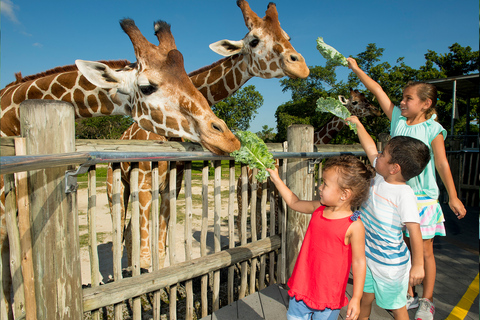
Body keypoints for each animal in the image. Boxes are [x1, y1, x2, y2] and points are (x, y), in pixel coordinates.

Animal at [106, 0, 312, 270]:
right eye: (254, 40)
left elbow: (159, 248)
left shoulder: (171, 187)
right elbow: (146, 253)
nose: (301, 66)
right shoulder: (142, 184)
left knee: (130, 234)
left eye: (287, 36)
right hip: (115, 187)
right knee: (121, 234)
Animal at [234, 89, 380, 241]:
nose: (376, 110)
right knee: (240, 220)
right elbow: (278, 227)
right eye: (355, 102)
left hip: (257, 197)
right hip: (242, 193)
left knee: (256, 221)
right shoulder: (277, 197)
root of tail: (240, 176)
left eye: (366, 98)